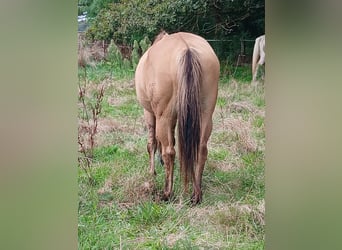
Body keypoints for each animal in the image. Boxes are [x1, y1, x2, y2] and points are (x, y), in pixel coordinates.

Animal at [134, 31, 219, 204]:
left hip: (163, 117)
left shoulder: (150, 114)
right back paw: (196, 195)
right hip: (205, 115)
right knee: (201, 149)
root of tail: (186, 49)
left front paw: (152, 172)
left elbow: (152, 143)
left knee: (169, 152)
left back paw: (167, 193)